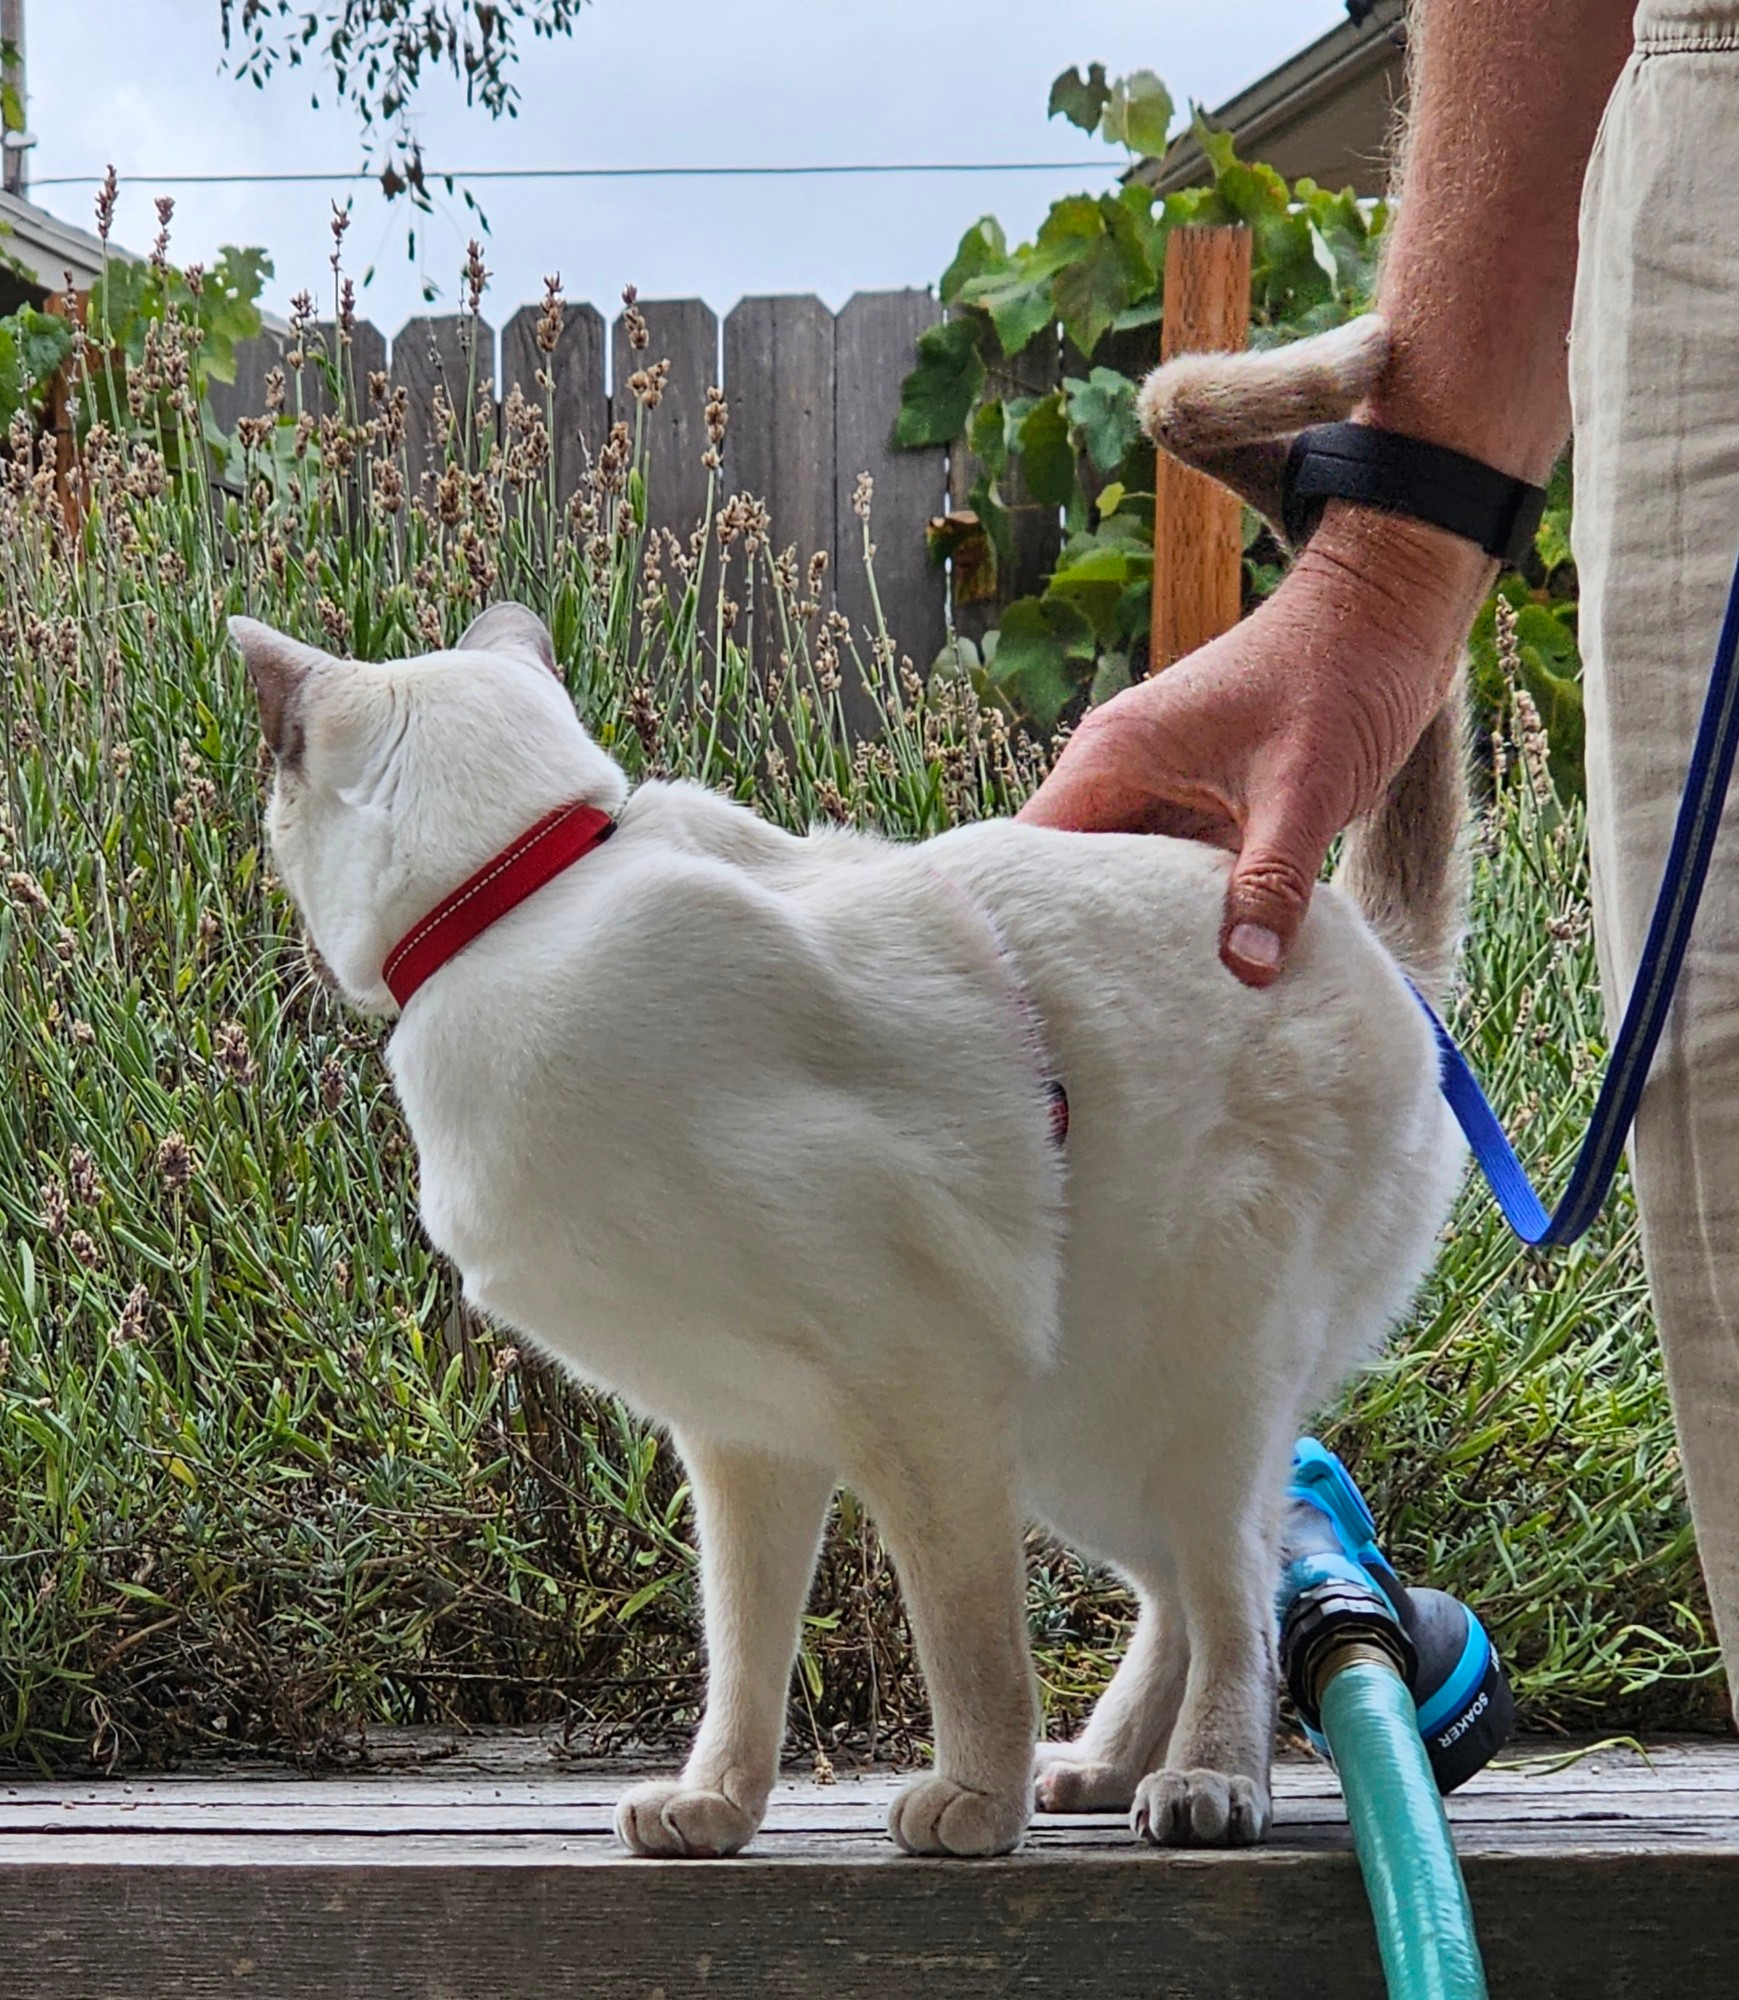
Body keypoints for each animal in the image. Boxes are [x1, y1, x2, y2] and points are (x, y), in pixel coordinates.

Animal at [237, 312, 1471, 1856]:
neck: (525, 898)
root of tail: (1356, 937)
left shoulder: (918, 1397)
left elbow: (966, 1647)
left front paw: (965, 1808)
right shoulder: (743, 1436)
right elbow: (742, 1655)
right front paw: (712, 1810)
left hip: (1182, 1385)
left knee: (1236, 1585)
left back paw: (1197, 1786)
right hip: (1085, 1433)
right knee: (1189, 1586)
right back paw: (1098, 1770)